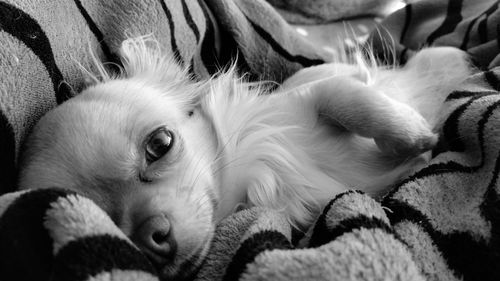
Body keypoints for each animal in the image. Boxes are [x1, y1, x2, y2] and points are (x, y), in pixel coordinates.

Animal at [17, 36, 474, 278]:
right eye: (104, 216)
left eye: (160, 144)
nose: (151, 237)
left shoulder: (310, 101)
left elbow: (342, 94)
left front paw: (412, 135)